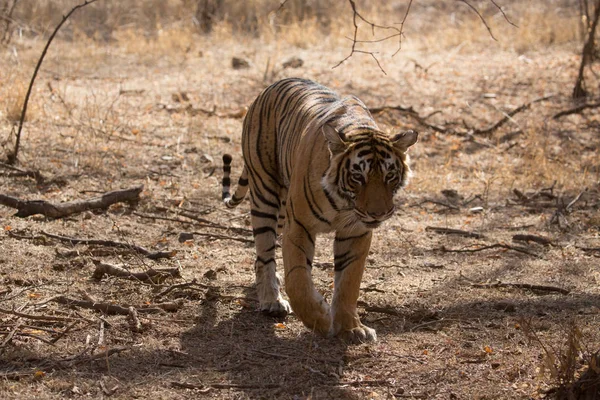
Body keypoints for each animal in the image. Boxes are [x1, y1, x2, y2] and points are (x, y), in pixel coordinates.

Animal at [220, 78, 418, 344]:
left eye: (390, 176)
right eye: (358, 177)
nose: (378, 214)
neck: (343, 204)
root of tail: (270, 87)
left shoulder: (355, 232)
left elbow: (348, 283)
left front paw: (352, 328)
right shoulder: (299, 226)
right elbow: (298, 281)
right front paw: (322, 320)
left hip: (282, 210)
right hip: (265, 194)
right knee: (264, 253)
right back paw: (272, 300)